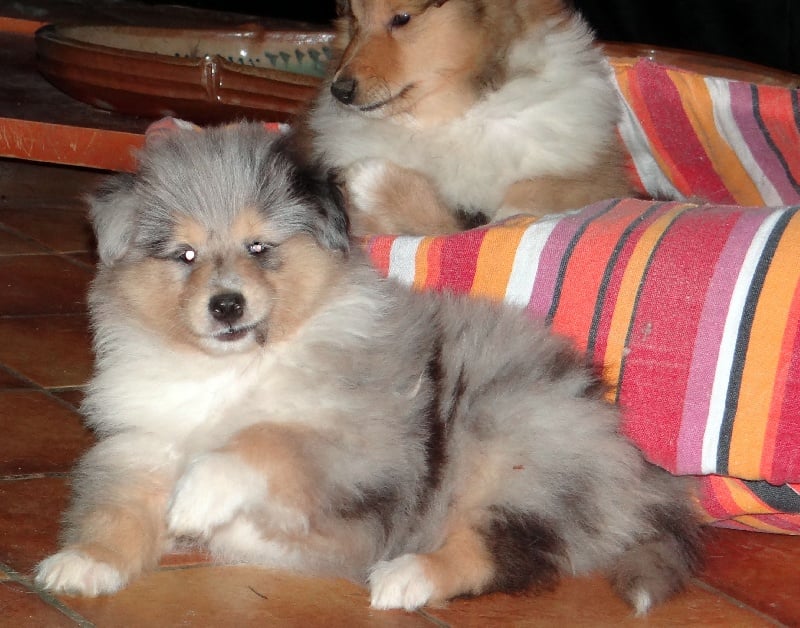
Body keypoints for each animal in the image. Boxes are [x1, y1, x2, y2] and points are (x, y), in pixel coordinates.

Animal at [35, 122, 700, 614]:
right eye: (185, 255)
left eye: (259, 247)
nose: (227, 305)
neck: (233, 369)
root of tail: (629, 456)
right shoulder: (142, 446)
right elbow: (115, 508)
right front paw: (84, 561)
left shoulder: (365, 446)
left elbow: (268, 440)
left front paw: (199, 500)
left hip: (511, 444)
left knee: (502, 551)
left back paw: (407, 577)